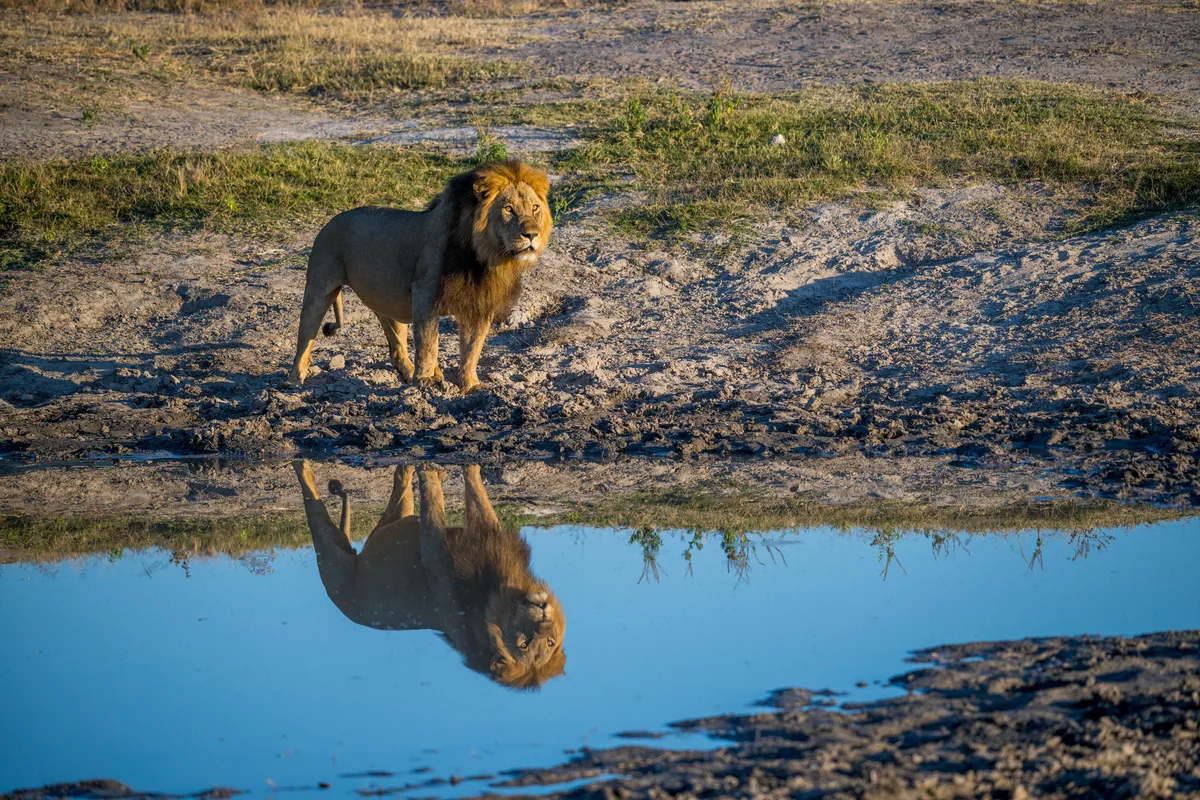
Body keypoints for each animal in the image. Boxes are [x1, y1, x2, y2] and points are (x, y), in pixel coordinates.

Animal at [288, 160, 552, 394]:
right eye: (508, 209)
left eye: (535, 208)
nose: (531, 234)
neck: (485, 257)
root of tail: (330, 221)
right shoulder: (425, 293)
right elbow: (428, 341)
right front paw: (425, 380)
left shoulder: (479, 302)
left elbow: (472, 348)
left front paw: (471, 385)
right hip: (319, 288)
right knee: (305, 338)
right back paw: (293, 381)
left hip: (390, 302)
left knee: (396, 348)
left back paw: (413, 372)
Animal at [294, 460, 566, 689]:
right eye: (524, 644)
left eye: (548, 643)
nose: (543, 618)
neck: (497, 593)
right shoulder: (461, 549)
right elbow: (467, 498)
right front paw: (459, 468)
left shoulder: (442, 562)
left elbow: (447, 505)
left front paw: (433, 471)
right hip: (356, 549)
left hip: (347, 555)